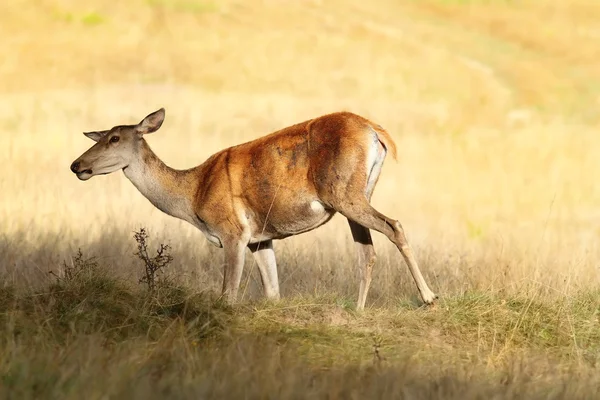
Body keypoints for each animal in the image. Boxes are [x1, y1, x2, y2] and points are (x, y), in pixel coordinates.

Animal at [70, 108, 438, 310]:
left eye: (115, 138)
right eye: (98, 136)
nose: (77, 165)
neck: (194, 195)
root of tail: (376, 131)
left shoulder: (233, 231)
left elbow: (228, 295)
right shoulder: (261, 239)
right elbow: (273, 293)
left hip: (345, 192)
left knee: (394, 226)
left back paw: (429, 297)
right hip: (357, 192)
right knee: (367, 249)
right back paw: (359, 310)